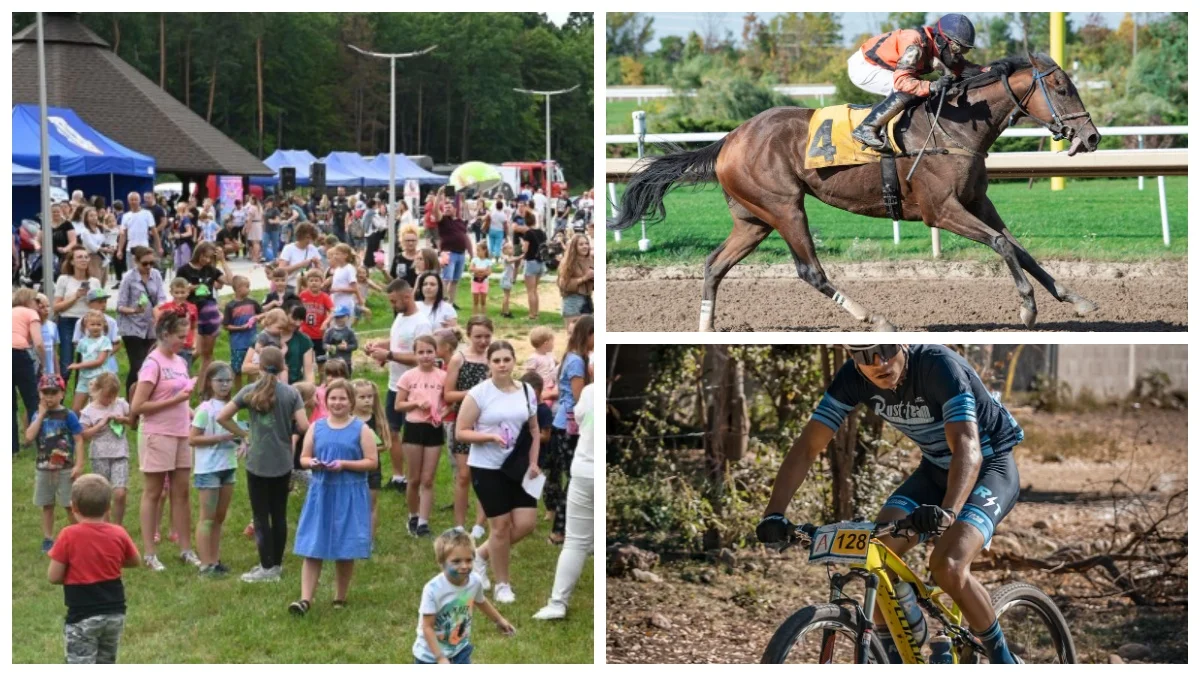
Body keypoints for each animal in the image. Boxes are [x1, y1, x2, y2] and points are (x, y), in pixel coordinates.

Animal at [609, 53, 1104, 331]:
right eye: (1061, 86)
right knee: (810, 271)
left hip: (752, 220)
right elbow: (1002, 244)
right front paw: (1027, 309)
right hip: (784, 207)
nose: (1092, 137)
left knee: (714, 264)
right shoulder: (940, 210)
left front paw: (1077, 300)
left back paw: (706, 327)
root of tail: (729, 138)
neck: (957, 126)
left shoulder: (978, 201)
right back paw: (875, 318)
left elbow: (1019, 248)